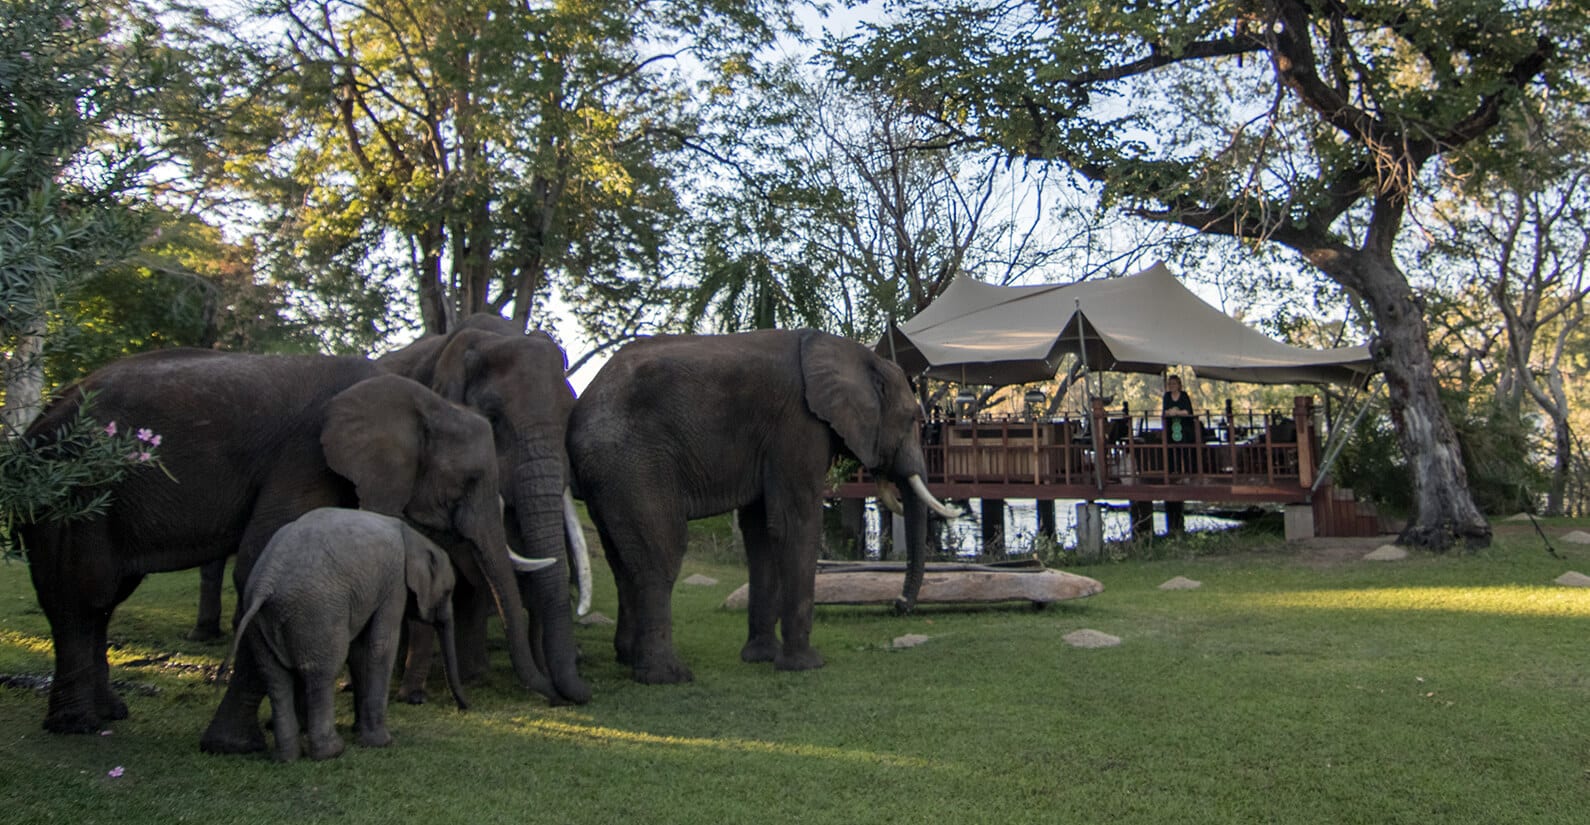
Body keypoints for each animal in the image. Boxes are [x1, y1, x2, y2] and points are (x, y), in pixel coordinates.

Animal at [225, 507, 475, 761]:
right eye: (448, 592)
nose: (464, 708)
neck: (415, 537)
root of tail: (265, 584)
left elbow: (359, 651)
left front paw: (360, 730)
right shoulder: (394, 584)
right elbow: (381, 644)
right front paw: (381, 742)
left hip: (260, 621)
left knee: (275, 677)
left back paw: (286, 757)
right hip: (317, 613)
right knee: (321, 673)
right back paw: (331, 751)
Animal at [566, 328, 961, 684]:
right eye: (913, 419)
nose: (898, 604)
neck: (851, 352)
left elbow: (760, 532)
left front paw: (761, 658)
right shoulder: (798, 425)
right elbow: (794, 522)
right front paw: (806, 665)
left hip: (611, 475)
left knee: (621, 562)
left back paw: (628, 658)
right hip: (633, 463)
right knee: (660, 556)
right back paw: (668, 677)